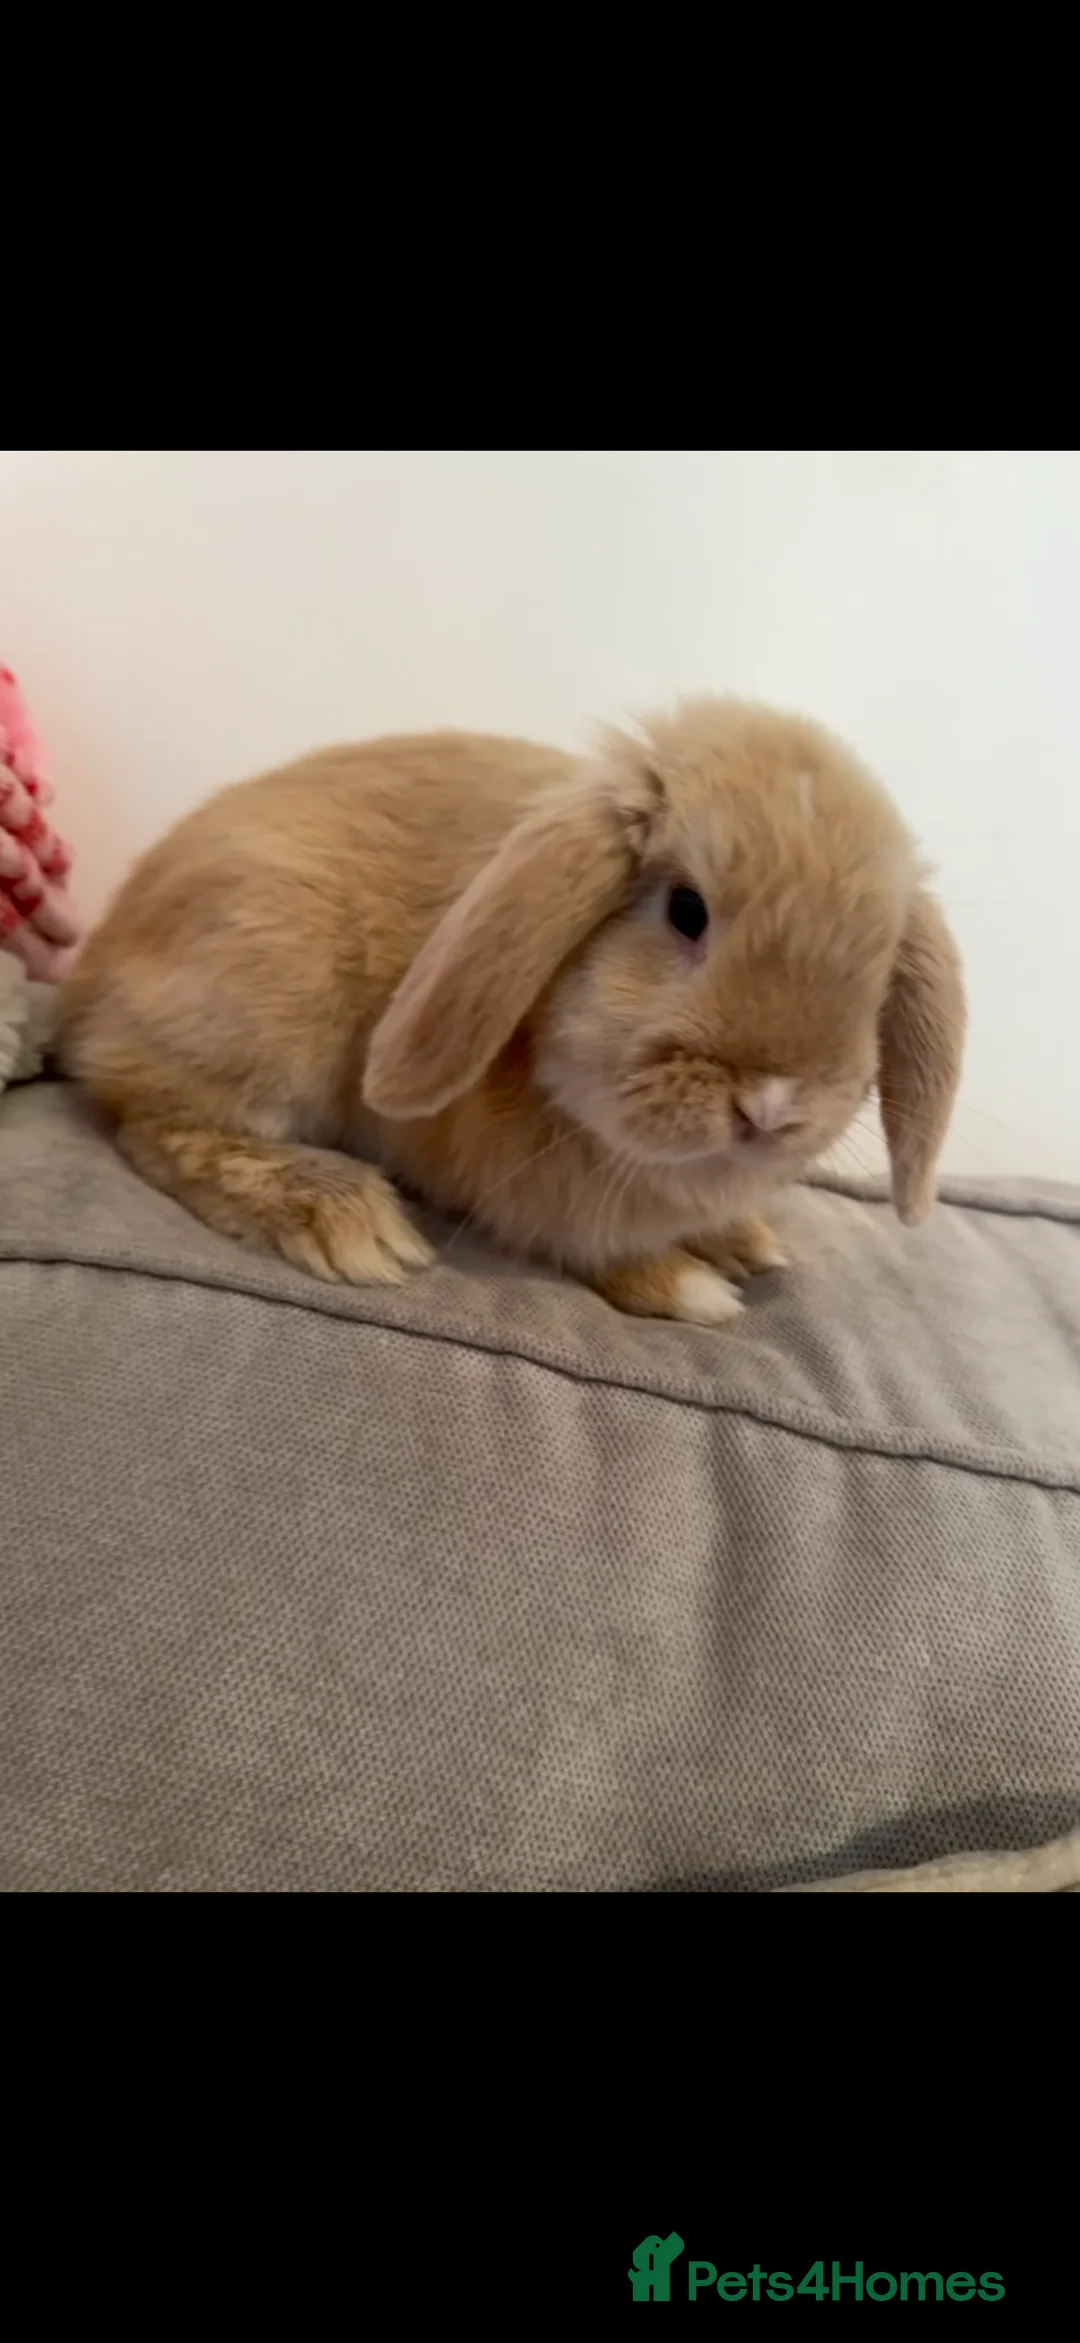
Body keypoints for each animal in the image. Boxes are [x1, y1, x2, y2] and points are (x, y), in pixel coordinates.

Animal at [57, 697, 965, 1324]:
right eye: (686, 909)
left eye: (878, 964)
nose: (772, 1105)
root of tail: (94, 969)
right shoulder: (540, 1204)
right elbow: (591, 1246)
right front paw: (691, 1287)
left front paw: (745, 1244)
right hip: (271, 998)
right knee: (151, 1122)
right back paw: (342, 1215)